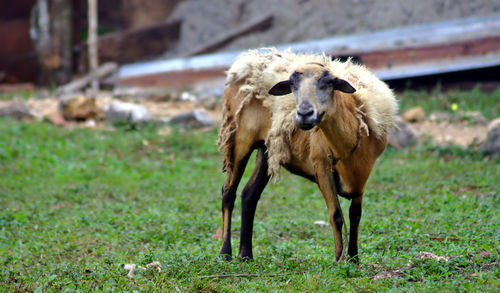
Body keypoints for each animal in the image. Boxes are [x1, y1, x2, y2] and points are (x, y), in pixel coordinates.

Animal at [217, 48, 396, 262]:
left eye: (328, 83)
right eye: (292, 85)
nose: (304, 114)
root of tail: (241, 66)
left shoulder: (362, 173)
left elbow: (355, 214)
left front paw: (354, 258)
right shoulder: (321, 166)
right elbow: (336, 215)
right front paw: (339, 260)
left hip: (268, 150)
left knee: (249, 195)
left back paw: (246, 255)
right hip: (239, 139)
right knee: (228, 192)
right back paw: (225, 253)